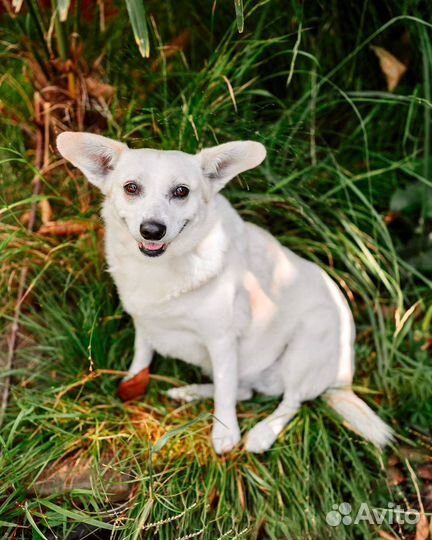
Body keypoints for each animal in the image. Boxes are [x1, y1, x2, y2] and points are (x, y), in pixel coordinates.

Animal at [56, 133, 392, 454]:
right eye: (131, 187)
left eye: (181, 191)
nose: (152, 230)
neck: (160, 268)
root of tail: (343, 379)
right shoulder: (144, 323)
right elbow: (142, 357)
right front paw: (131, 382)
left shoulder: (222, 341)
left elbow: (226, 393)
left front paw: (226, 432)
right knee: (243, 390)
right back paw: (190, 391)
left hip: (306, 348)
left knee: (290, 400)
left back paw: (262, 434)